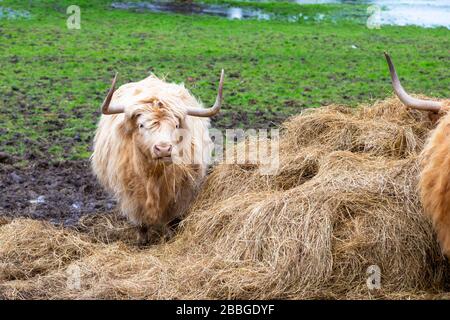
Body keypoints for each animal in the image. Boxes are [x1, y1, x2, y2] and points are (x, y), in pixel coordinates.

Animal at [92, 70, 225, 242]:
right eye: (141, 125)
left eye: (176, 125)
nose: (163, 149)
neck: (153, 176)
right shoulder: (131, 197)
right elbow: (140, 224)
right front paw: (142, 241)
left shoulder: (180, 194)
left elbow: (172, 221)